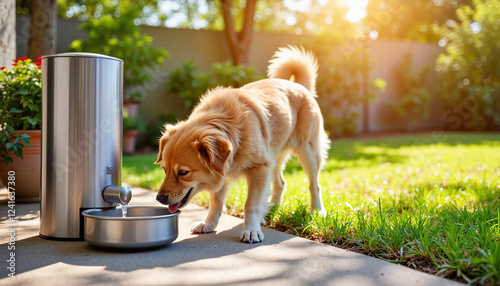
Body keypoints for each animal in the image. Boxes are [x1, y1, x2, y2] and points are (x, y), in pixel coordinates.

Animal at [154, 45, 330, 242]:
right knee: (281, 183)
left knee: (314, 185)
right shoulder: (223, 173)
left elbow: (251, 204)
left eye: (183, 172)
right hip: (275, 158)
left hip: (308, 153)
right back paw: (272, 209)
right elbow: (215, 202)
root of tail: (300, 86)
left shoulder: (260, 168)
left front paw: (251, 229)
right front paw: (209, 223)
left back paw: (317, 210)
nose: (160, 198)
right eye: (164, 169)